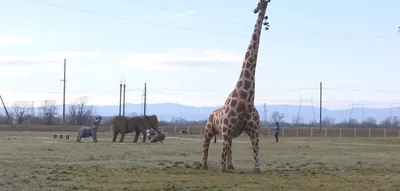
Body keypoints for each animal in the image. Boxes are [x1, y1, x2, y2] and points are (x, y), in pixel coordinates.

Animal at [202, 0, 270, 173]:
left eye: (261, 3)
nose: (255, 10)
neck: (246, 99)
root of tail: (211, 113)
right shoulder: (226, 130)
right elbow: (222, 151)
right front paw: (221, 169)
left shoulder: (254, 130)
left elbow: (256, 149)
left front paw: (256, 168)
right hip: (209, 129)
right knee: (205, 145)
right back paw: (204, 165)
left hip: (229, 134)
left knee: (229, 147)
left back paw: (231, 166)